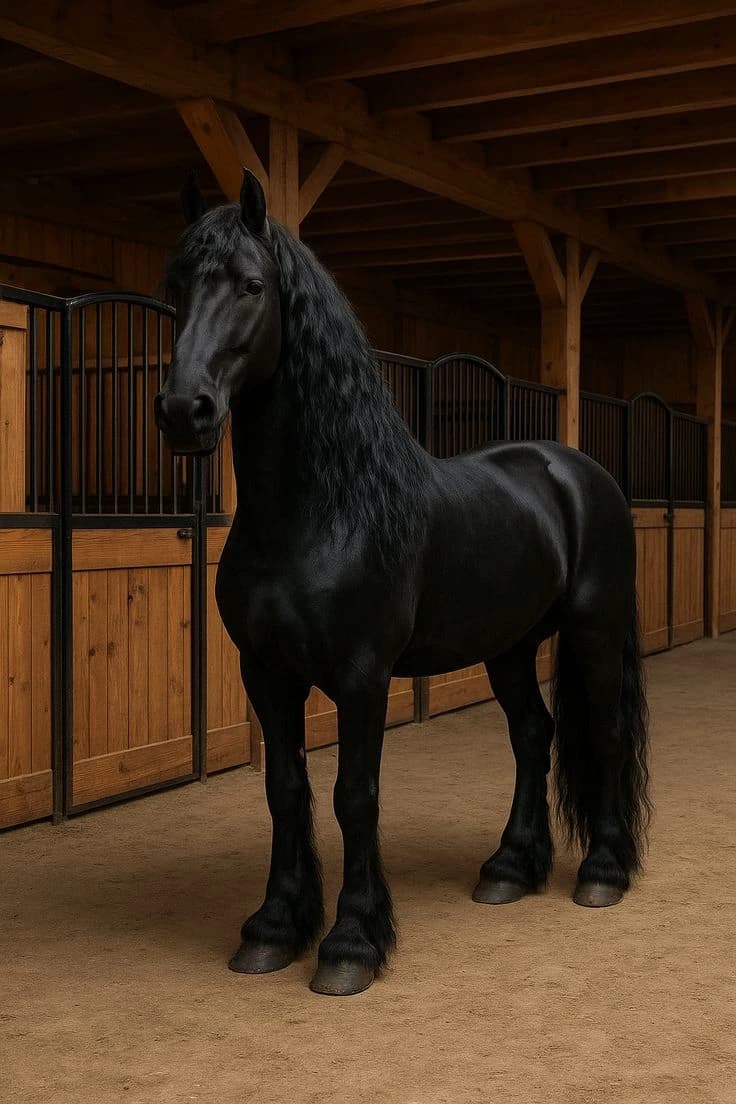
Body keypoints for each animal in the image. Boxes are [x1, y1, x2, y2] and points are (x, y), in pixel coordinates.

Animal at [155, 169, 651, 997]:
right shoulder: (266, 674)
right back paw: (509, 868)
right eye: (177, 285)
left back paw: (603, 874)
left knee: (605, 734)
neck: (320, 512)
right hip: (510, 647)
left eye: (252, 285)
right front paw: (273, 928)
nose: (182, 412)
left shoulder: (362, 677)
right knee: (533, 735)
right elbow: (286, 791)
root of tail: (578, 472)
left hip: (595, 631)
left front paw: (351, 943)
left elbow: (355, 797)